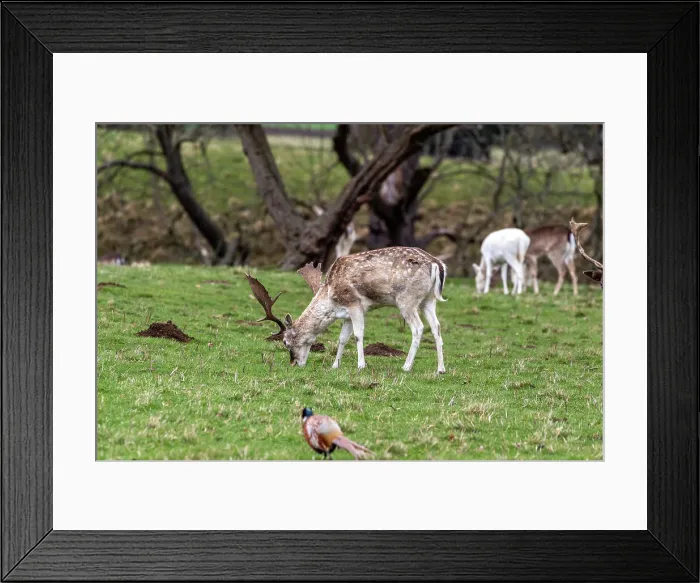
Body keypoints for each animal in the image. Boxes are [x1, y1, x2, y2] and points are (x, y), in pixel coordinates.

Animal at [246, 247, 447, 374]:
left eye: (285, 342)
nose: (294, 363)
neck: (331, 297)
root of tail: (437, 264)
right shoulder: (346, 315)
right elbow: (342, 338)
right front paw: (335, 365)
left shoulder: (355, 304)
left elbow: (358, 335)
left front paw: (361, 365)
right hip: (428, 300)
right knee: (436, 327)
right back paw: (441, 369)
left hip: (407, 300)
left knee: (418, 328)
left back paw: (406, 367)